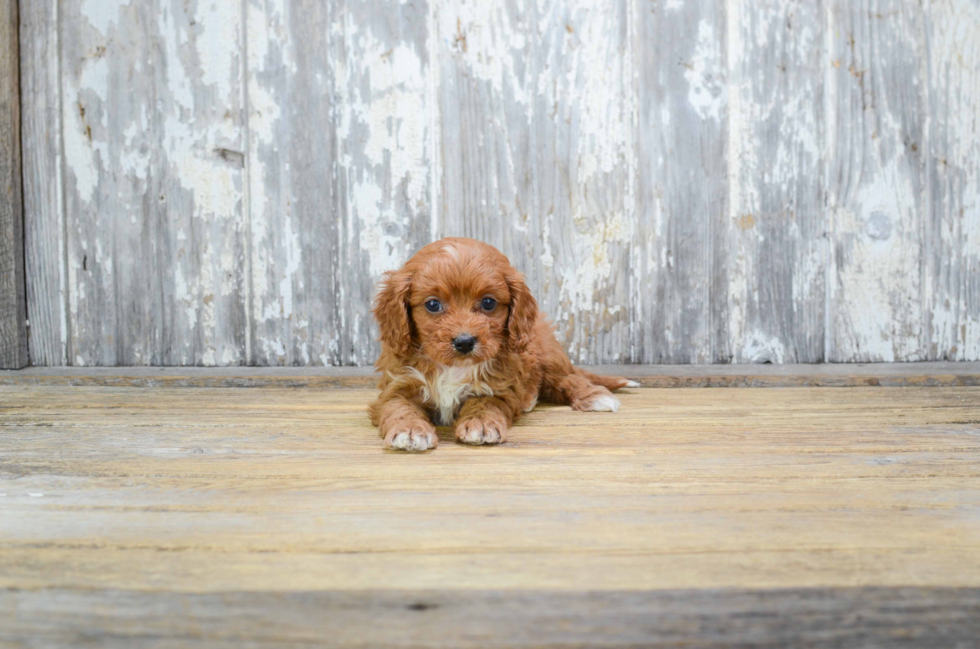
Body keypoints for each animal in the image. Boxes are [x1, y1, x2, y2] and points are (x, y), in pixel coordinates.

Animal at [368, 238, 636, 450]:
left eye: (488, 302)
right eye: (433, 304)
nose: (464, 342)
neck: (453, 367)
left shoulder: (499, 388)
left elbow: (484, 403)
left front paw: (481, 424)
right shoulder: (397, 386)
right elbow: (399, 407)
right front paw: (410, 430)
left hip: (547, 353)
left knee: (568, 378)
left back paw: (594, 397)